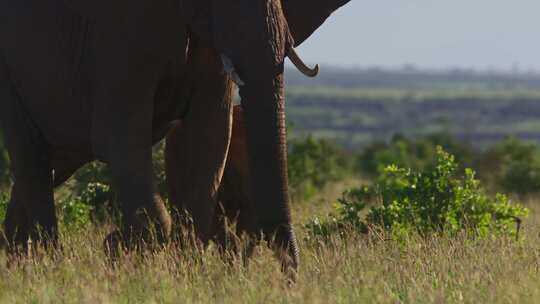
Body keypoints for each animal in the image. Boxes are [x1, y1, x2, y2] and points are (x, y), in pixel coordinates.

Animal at [0, 0, 352, 270]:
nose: (289, 276)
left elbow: (206, 138)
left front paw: (188, 271)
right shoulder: (119, 32)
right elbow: (119, 137)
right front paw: (125, 250)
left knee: (54, 164)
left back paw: (19, 263)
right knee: (31, 157)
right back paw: (48, 265)